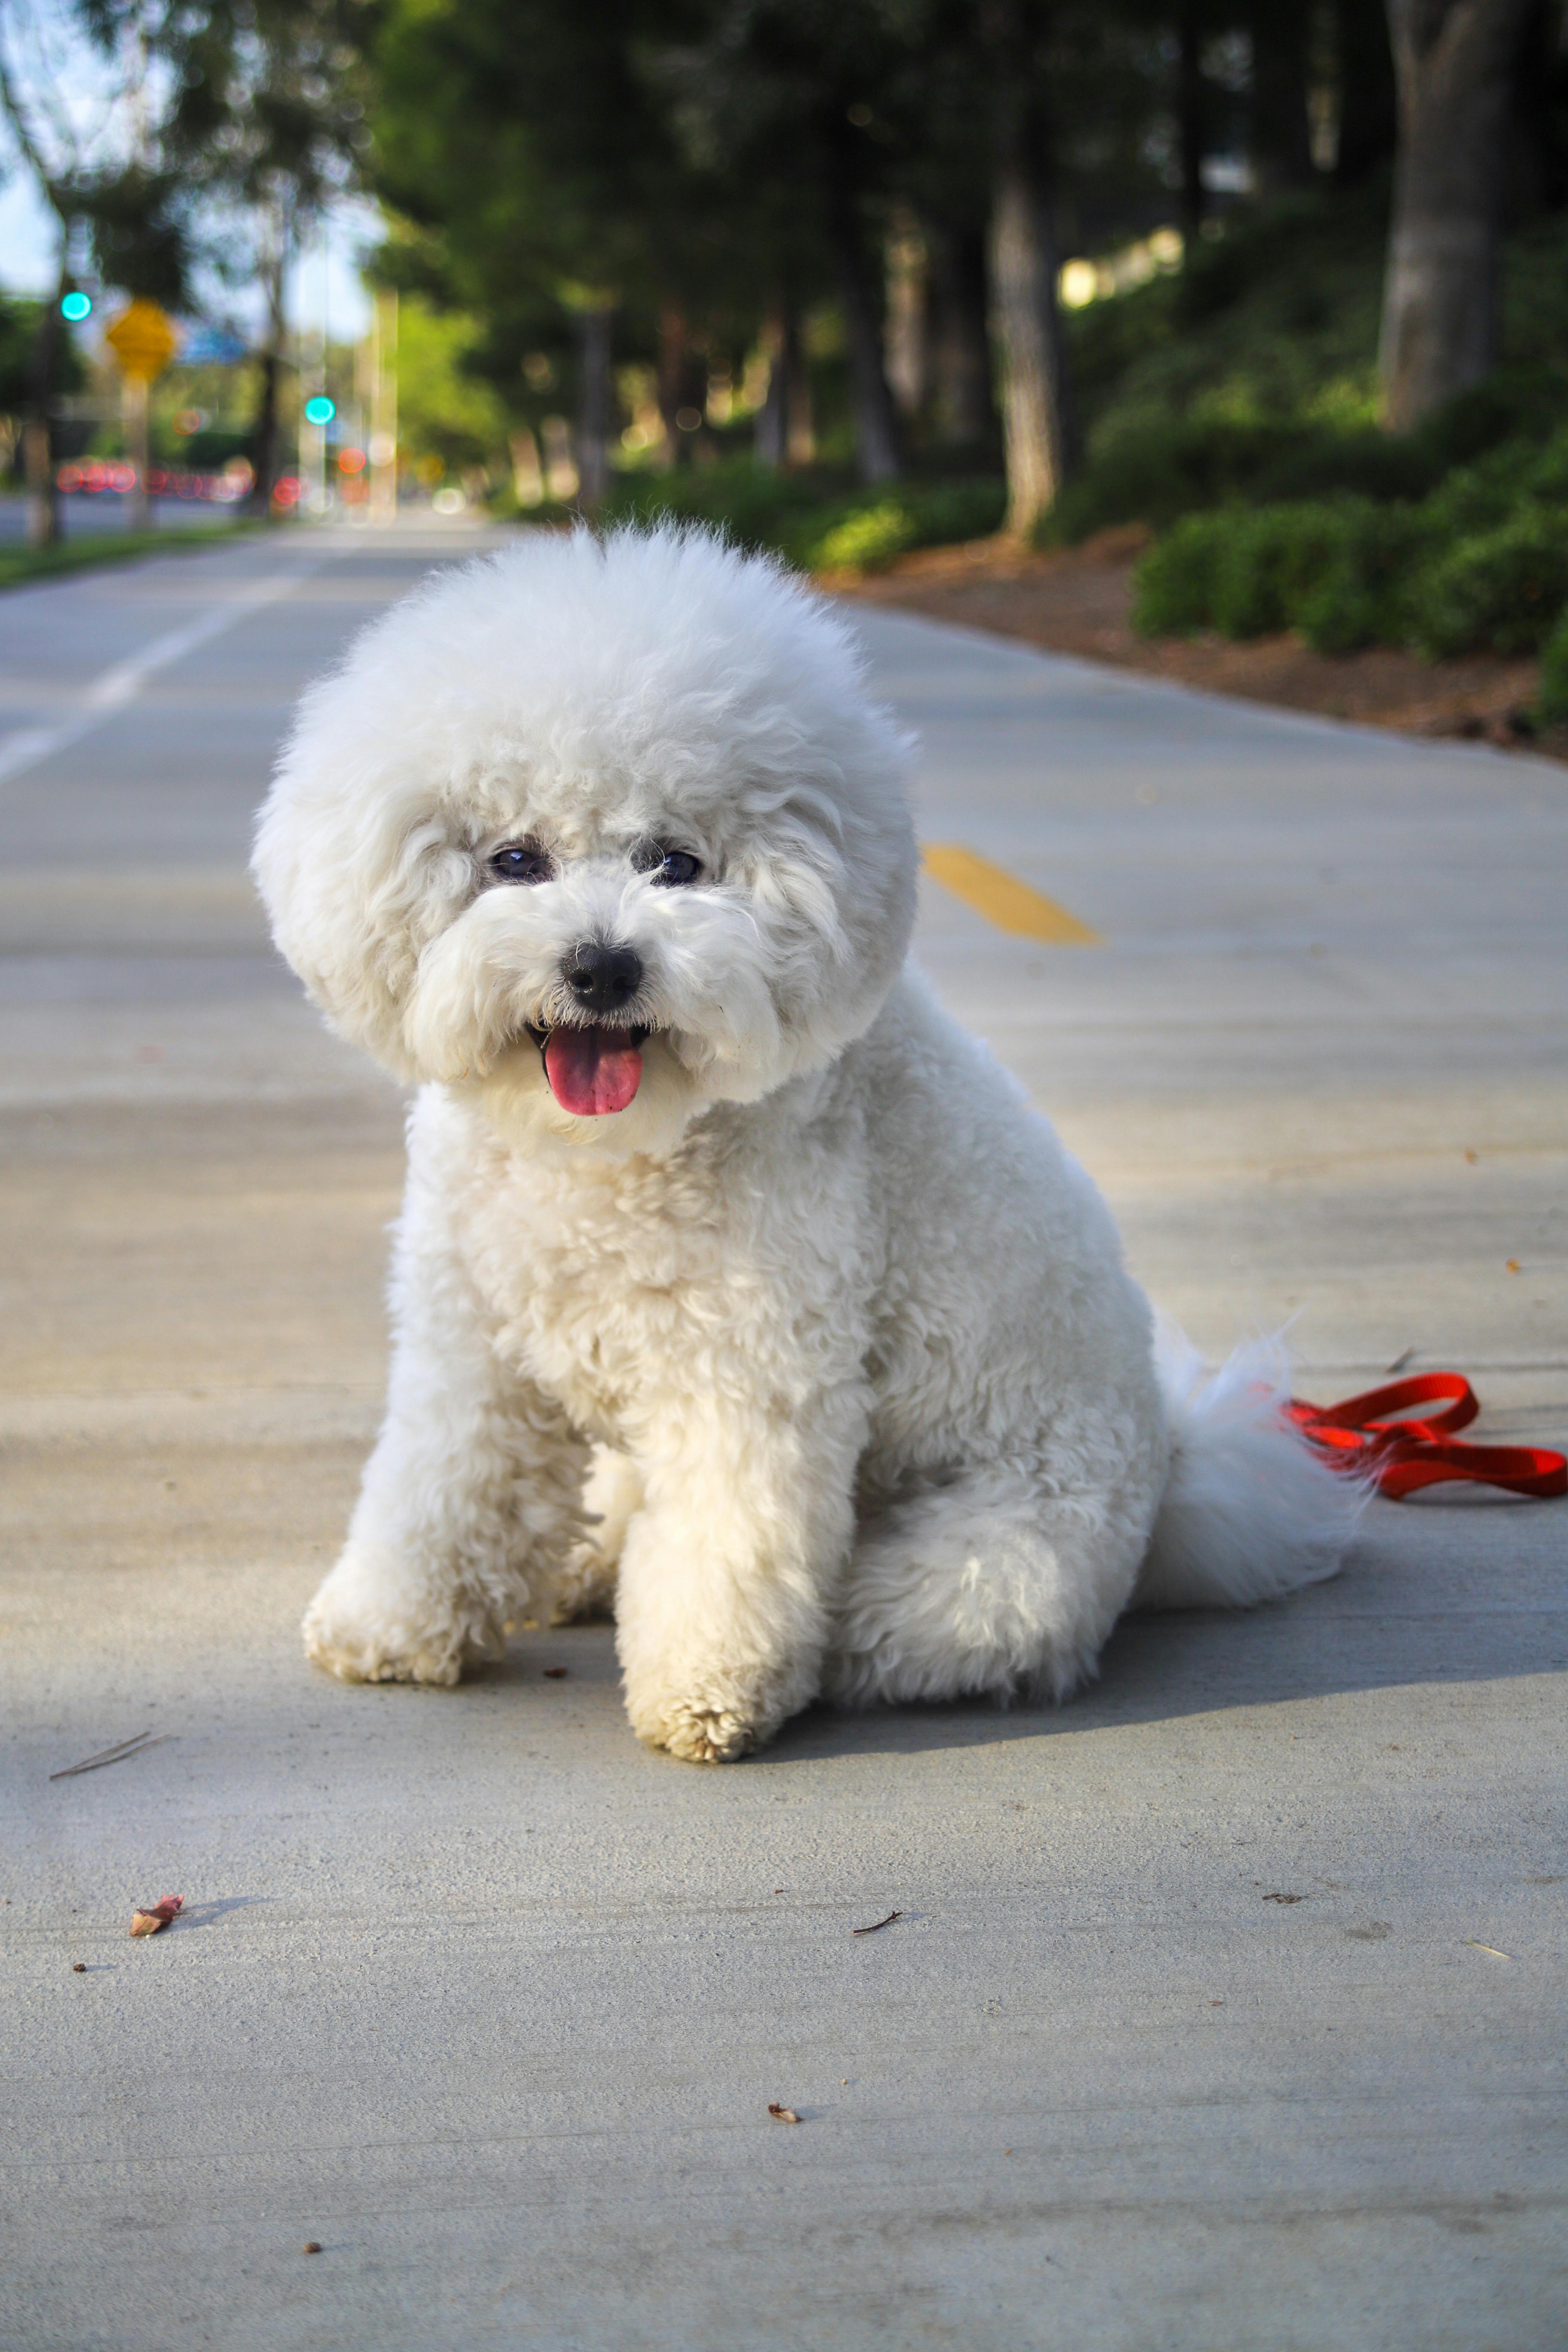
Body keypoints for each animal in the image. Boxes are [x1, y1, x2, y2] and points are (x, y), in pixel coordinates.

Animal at [251, 524, 1354, 1759]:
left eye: (675, 862)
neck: (609, 1157)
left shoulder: (751, 1373)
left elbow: (726, 1543)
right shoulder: (470, 1347)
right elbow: (440, 1489)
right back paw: (586, 1562)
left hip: (992, 1565)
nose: (602, 967)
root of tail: (1172, 1480)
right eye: (515, 859)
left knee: (890, 1624)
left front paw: (703, 1690)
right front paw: (391, 1627)